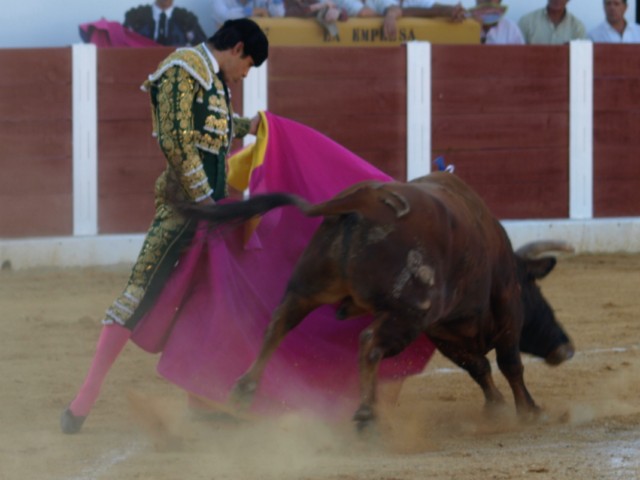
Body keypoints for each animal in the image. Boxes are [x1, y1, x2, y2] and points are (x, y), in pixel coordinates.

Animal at [181, 171, 576, 430]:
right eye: (535, 292)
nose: (566, 347)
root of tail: (362, 201)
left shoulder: (441, 329)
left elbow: (478, 366)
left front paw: (496, 408)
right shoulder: (504, 309)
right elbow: (509, 363)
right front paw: (529, 411)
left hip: (307, 287)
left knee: (279, 323)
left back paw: (244, 389)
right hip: (405, 313)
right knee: (369, 342)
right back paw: (366, 414)